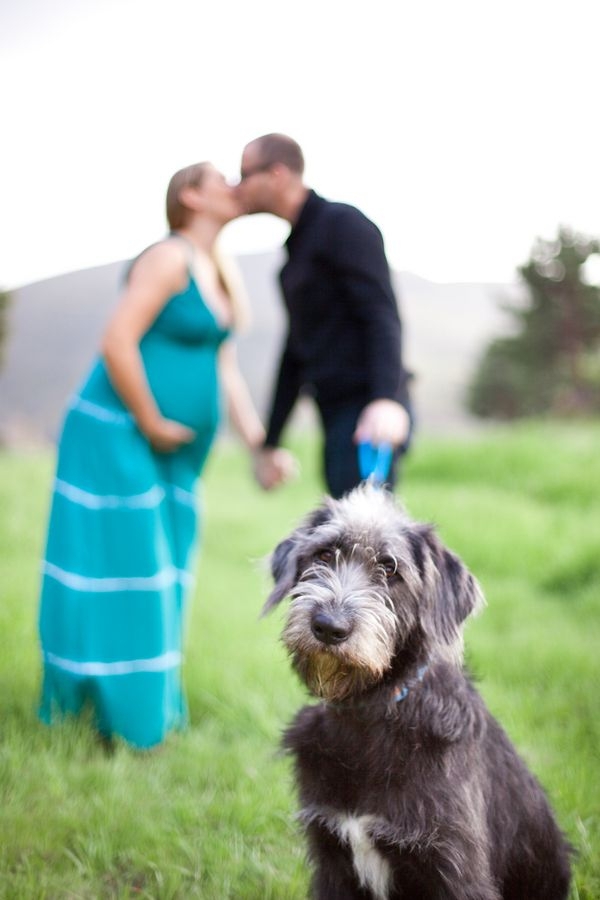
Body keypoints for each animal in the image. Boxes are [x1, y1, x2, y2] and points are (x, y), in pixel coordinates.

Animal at [264, 486, 572, 900]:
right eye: (324, 554)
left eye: (390, 569)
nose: (328, 627)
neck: (369, 716)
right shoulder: (331, 858)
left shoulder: (456, 868)